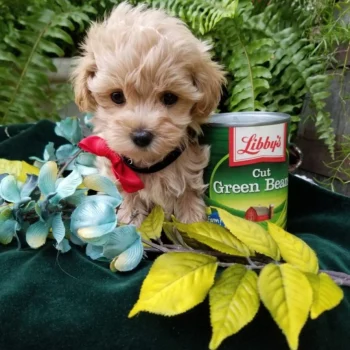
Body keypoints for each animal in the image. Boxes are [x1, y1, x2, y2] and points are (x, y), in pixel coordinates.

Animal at [73, 3, 226, 227]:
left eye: (169, 98)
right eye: (117, 96)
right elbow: (129, 213)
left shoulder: (189, 177)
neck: (149, 164)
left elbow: (190, 211)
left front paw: (195, 227)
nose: (141, 136)